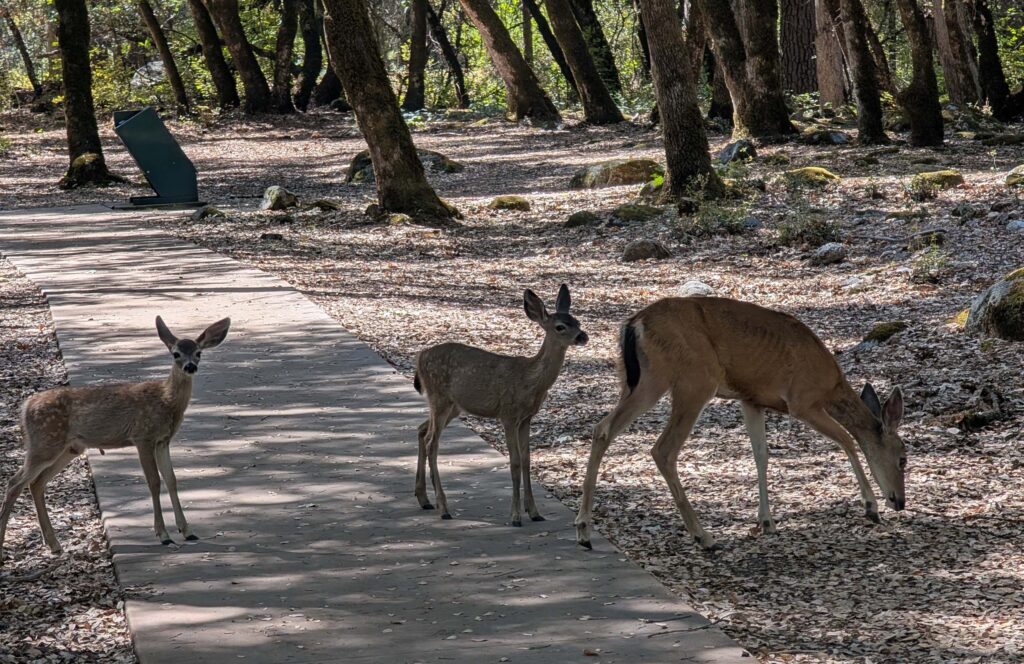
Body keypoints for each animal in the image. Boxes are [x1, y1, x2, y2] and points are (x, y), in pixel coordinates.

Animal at [0, 316, 231, 563]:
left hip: (67, 448)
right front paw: (163, 535)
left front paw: (187, 531)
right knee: (14, 482)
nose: (190, 366)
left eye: (198, 353)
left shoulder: (162, 440)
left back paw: (54, 545)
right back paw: (6, 546)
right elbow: (154, 481)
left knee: (36, 483)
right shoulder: (143, 436)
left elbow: (171, 479)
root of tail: (25, 407)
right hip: (44, 442)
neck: (166, 401)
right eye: (176, 353)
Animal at [413, 285, 588, 527]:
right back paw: (444, 508)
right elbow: (514, 463)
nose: (583, 336)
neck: (530, 380)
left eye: (577, 321)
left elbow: (526, 460)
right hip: (439, 397)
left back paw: (424, 499)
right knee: (432, 442)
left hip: (452, 405)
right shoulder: (508, 414)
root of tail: (420, 356)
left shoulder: (526, 418)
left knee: (421, 430)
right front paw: (515, 516)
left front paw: (534, 512)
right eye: (560, 326)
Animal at [574, 296, 907, 551]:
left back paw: (584, 530)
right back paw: (704, 537)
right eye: (903, 459)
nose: (900, 501)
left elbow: (761, 455)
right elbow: (848, 439)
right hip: (693, 379)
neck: (831, 385)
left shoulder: (752, 400)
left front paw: (767, 521)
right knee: (663, 449)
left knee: (603, 428)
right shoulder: (802, 401)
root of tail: (634, 324)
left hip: (636, 379)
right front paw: (871, 507)